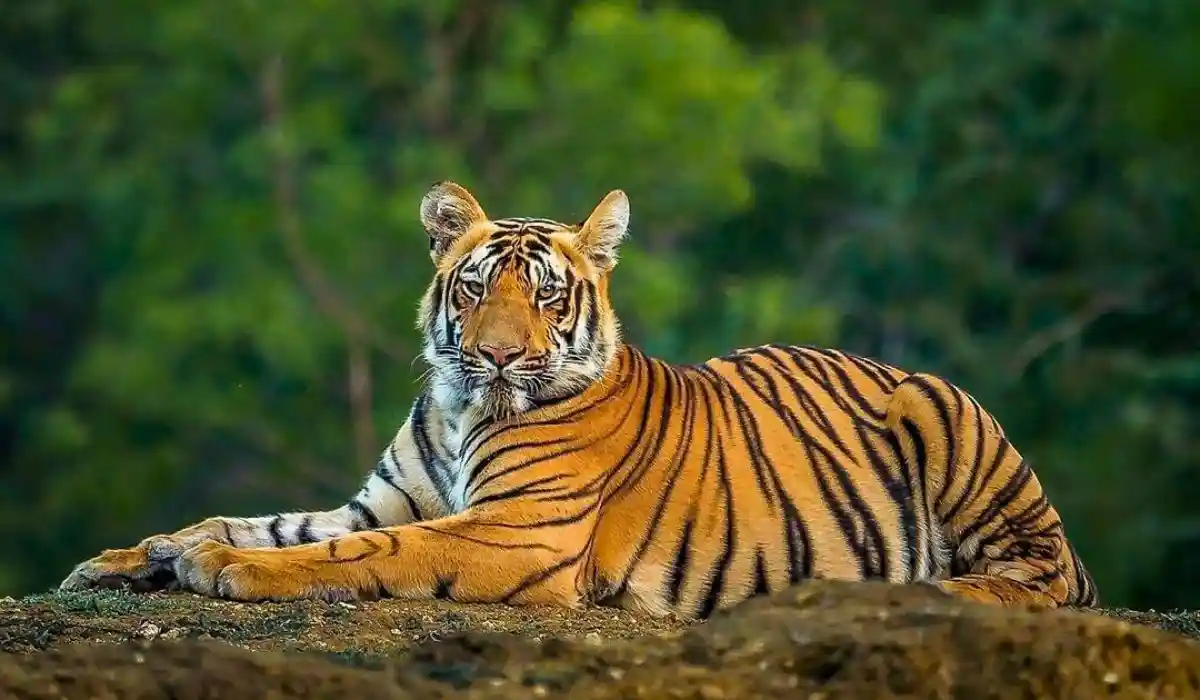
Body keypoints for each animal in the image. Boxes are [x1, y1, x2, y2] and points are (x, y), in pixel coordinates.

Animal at [59, 180, 1098, 618]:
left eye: (548, 297)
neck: (459, 407)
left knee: (1037, 581)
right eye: (477, 288)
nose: (496, 356)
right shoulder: (383, 498)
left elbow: (356, 553)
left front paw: (223, 570)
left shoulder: (516, 531)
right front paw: (137, 556)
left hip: (948, 418)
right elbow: (261, 520)